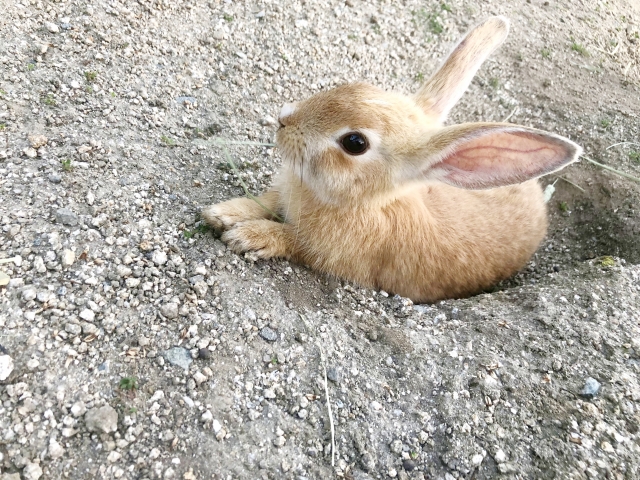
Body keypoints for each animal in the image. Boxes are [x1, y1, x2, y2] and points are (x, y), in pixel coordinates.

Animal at [202, 15, 584, 304]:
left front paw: (247, 237)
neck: (361, 201)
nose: (284, 118)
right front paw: (222, 213)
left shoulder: (329, 253)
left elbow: (293, 241)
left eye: (354, 143)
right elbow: (263, 200)